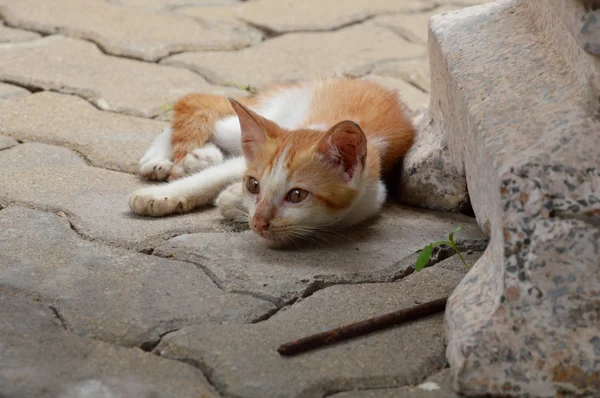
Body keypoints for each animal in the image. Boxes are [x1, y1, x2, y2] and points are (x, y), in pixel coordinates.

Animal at [129, 75, 414, 243]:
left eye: (297, 195)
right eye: (254, 185)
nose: (258, 222)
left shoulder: (370, 200)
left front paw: (231, 198)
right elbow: (209, 180)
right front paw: (159, 196)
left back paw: (200, 157)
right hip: (261, 119)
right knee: (204, 114)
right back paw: (159, 161)